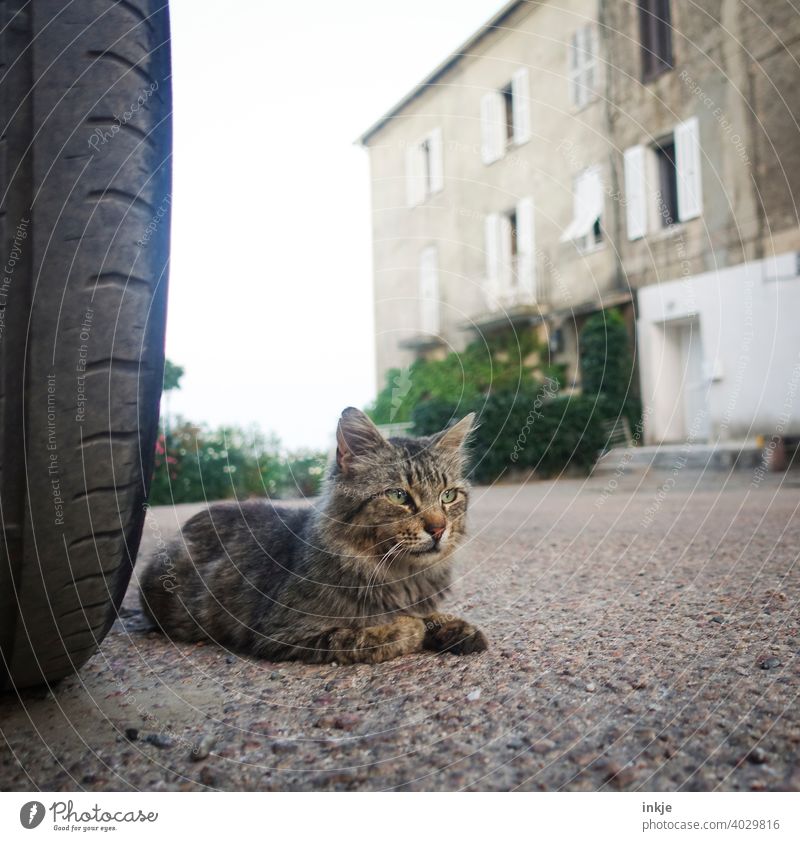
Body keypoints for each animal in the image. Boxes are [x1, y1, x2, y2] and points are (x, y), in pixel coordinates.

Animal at [138, 406, 488, 664]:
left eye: (448, 496)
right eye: (398, 495)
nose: (438, 529)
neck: (402, 575)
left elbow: (432, 614)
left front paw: (454, 627)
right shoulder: (285, 632)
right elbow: (369, 634)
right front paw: (410, 627)